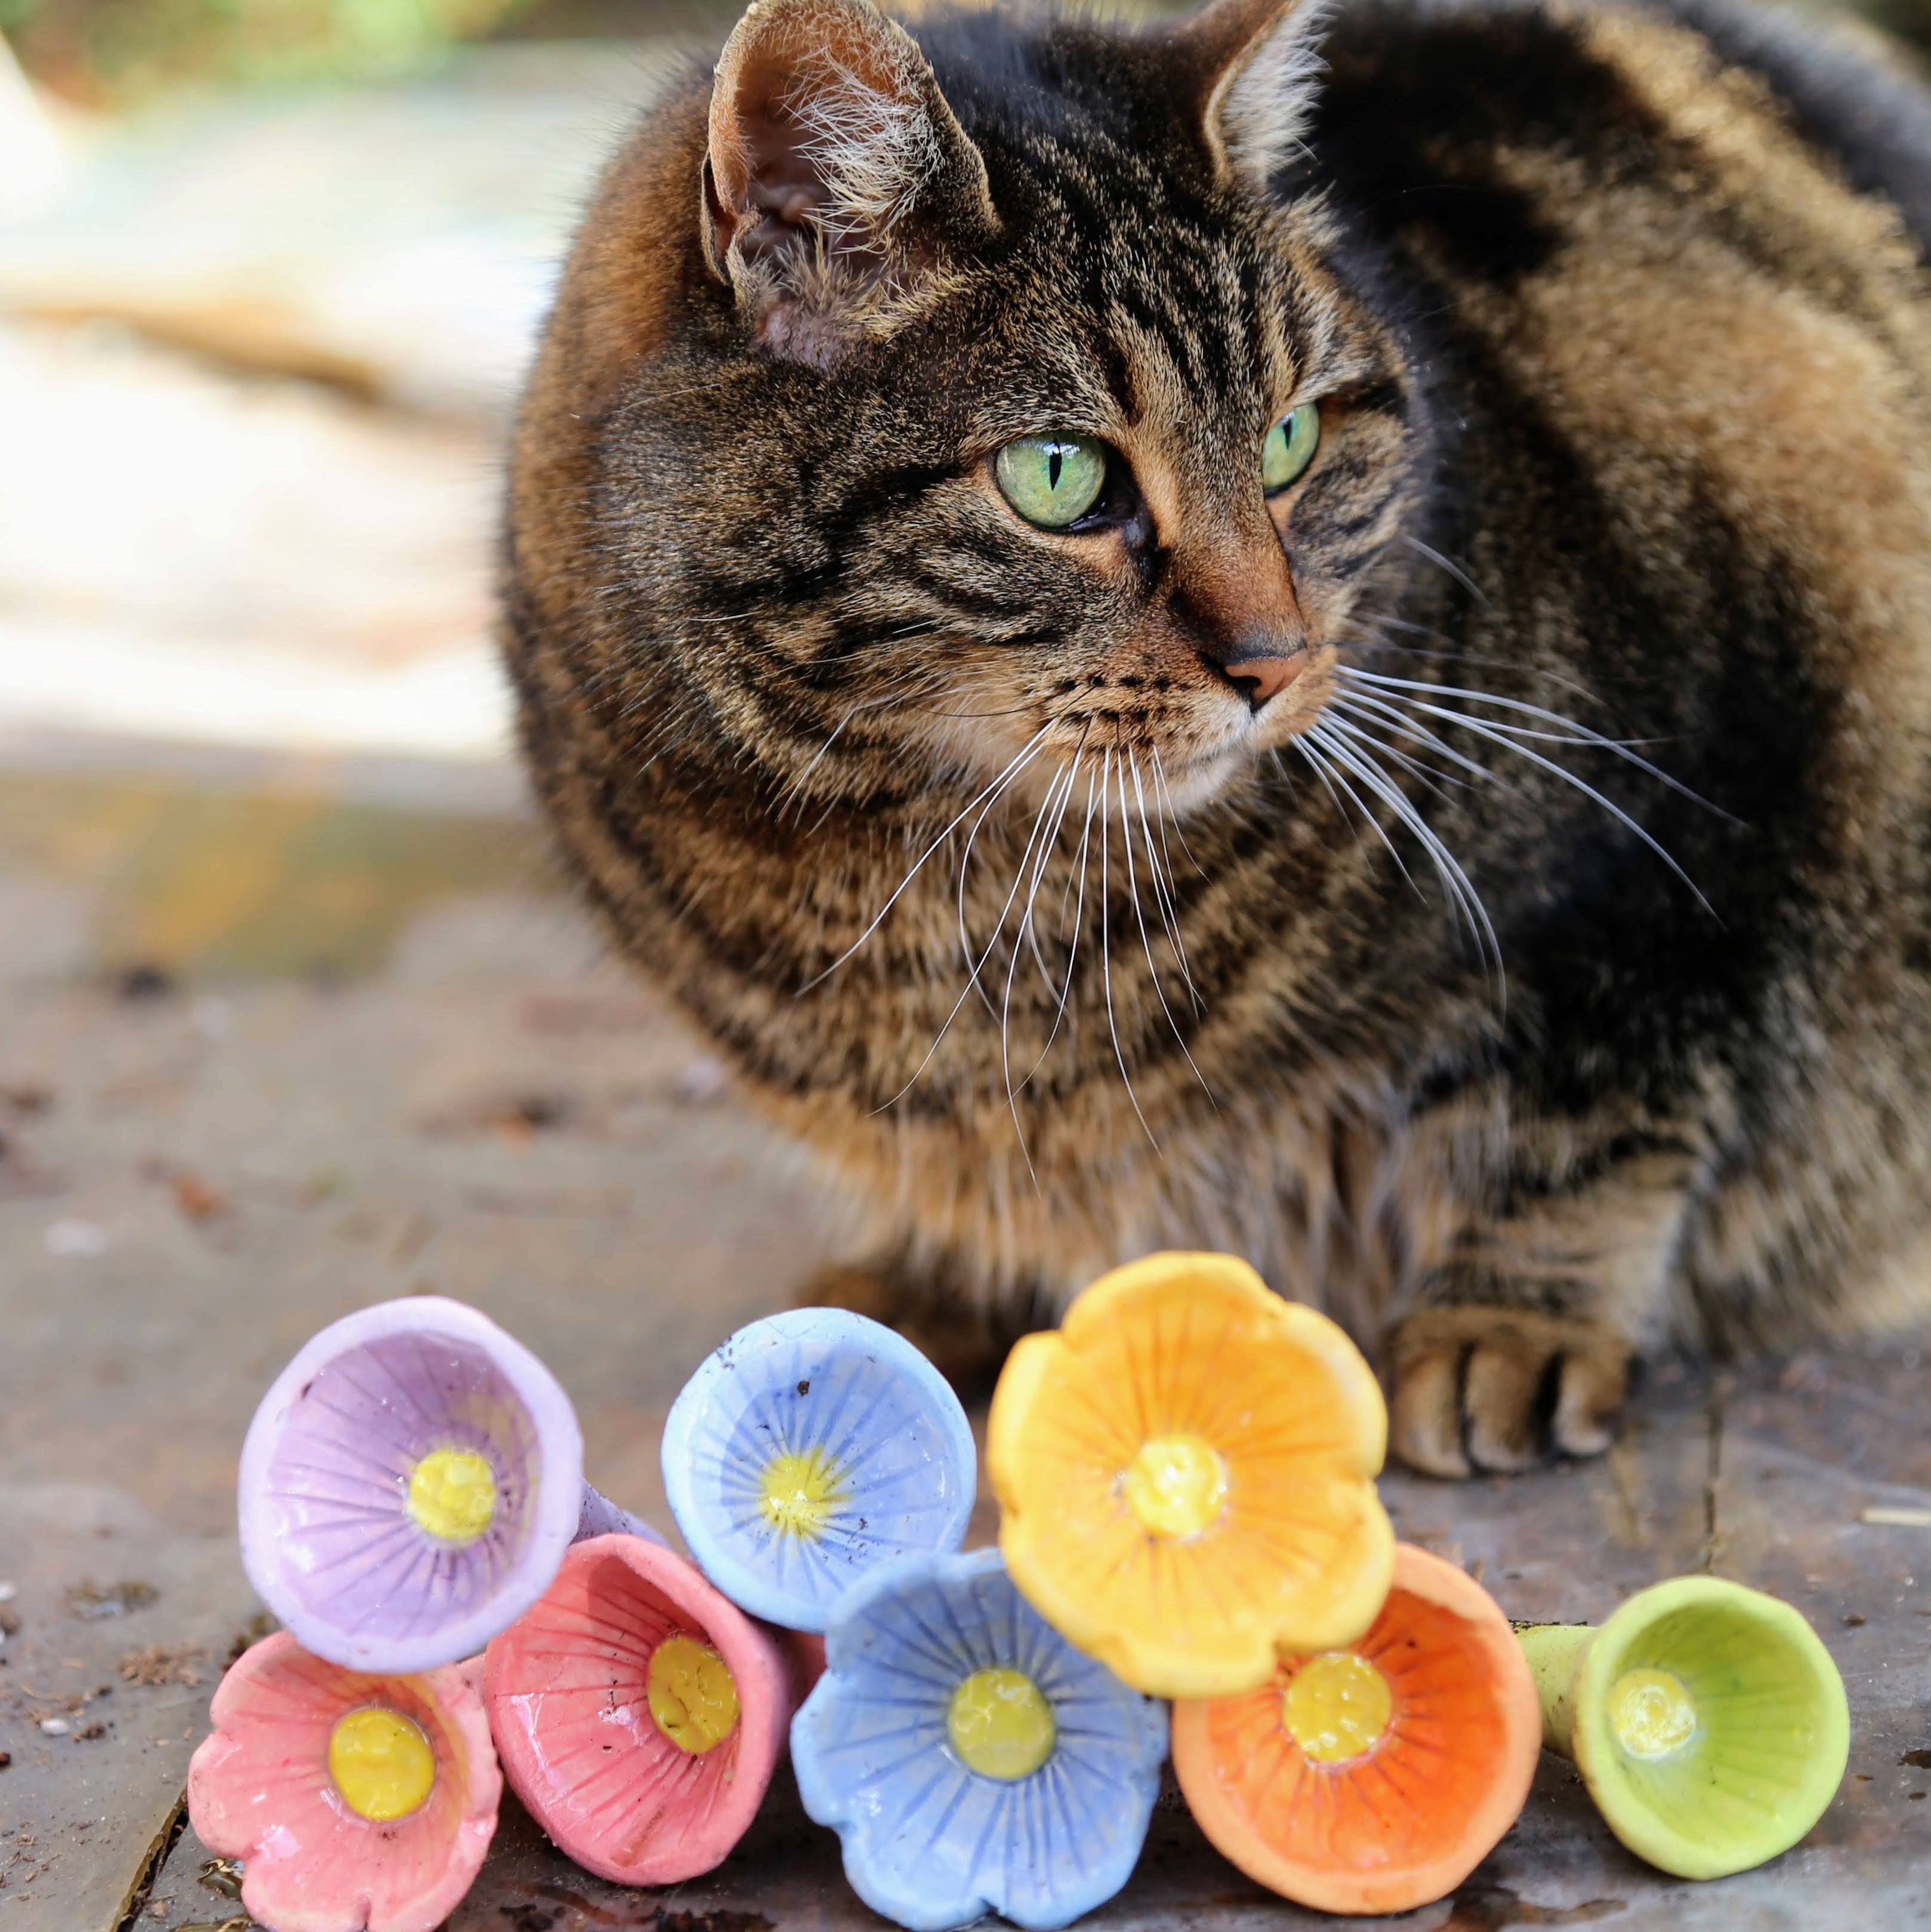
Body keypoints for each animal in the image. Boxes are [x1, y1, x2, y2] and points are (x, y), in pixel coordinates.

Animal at [502, 0, 1931, 1460]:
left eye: (1291, 439)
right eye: (1059, 476)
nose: (1277, 663)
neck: (910, 869)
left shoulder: (1677, 846)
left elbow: (1596, 1117)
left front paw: (1504, 1320)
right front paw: (936, 1281)